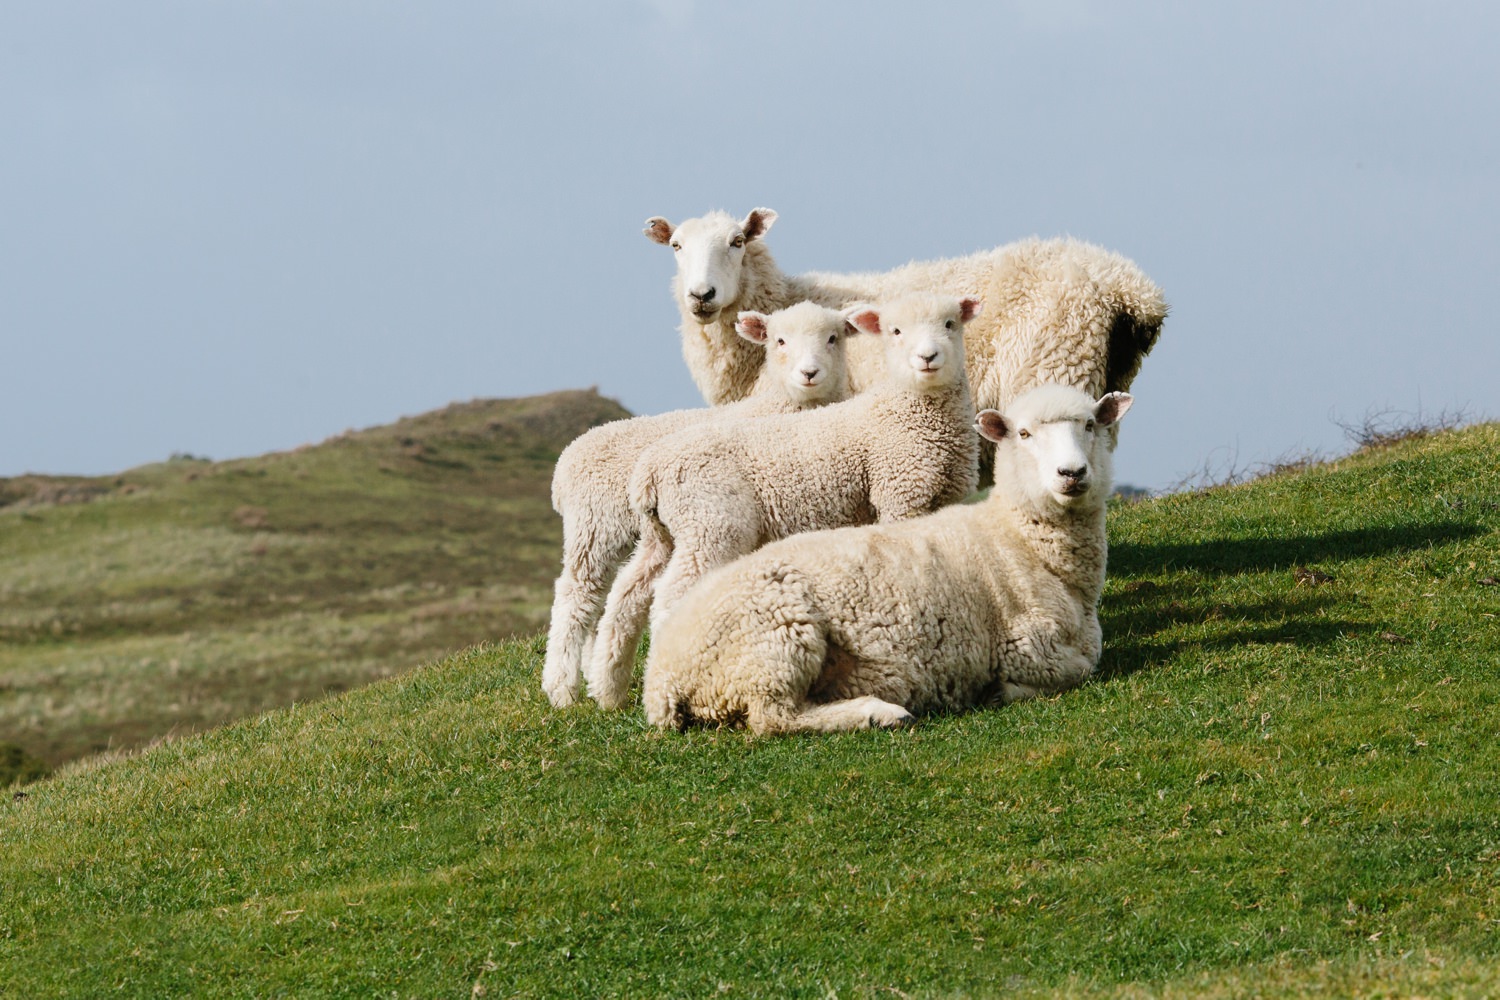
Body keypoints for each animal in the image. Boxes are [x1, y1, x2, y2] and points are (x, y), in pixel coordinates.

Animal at [546, 301, 864, 707]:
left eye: (833, 337)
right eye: (779, 340)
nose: (809, 373)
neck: (783, 404)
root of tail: (567, 460)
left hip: (647, 535)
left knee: (612, 596)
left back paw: (601, 682)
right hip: (597, 526)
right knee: (576, 595)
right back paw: (562, 688)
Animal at [585, 293, 984, 707]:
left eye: (951, 324)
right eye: (896, 331)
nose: (928, 357)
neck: (909, 412)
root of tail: (649, 472)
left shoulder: (946, 499)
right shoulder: (899, 494)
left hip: (662, 534)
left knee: (627, 595)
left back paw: (608, 690)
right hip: (711, 523)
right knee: (670, 595)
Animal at [636, 383, 1134, 734]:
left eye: (1090, 425)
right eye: (1025, 434)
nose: (1072, 473)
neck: (1018, 541)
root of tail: (661, 679)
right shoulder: (1027, 645)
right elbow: (1080, 670)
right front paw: (1001, 690)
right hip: (776, 639)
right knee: (772, 717)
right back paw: (880, 713)